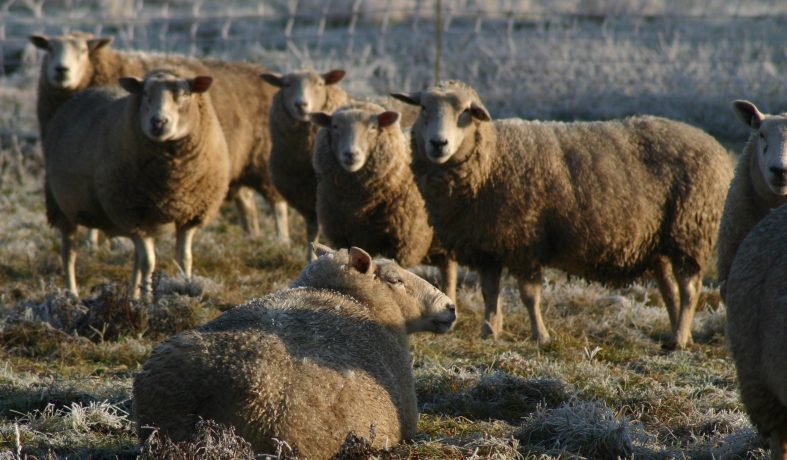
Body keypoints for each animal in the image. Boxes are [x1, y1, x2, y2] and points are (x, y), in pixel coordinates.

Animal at [29, 32, 286, 241]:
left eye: (84, 51)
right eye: (49, 49)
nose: (61, 70)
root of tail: (260, 71)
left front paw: (93, 243)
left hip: (263, 158)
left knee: (278, 203)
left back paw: (280, 240)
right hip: (236, 165)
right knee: (247, 203)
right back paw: (251, 236)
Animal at [44, 69, 230, 299]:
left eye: (185, 94)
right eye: (146, 94)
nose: (158, 122)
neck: (174, 181)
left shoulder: (190, 215)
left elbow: (184, 258)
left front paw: (185, 288)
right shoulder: (133, 214)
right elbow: (149, 262)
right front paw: (148, 299)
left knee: (135, 258)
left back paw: (132, 295)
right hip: (62, 205)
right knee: (69, 252)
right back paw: (72, 294)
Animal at [260, 69, 349, 259]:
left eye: (320, 84)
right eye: (286, 84)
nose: (301, 104)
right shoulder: (307, 200)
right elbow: (312, 231)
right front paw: (310, 257)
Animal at [310, 101, 458, 301]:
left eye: (373, 127)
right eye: (335, 126)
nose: (351, 154)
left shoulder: (401, 242)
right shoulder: (344, 235)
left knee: (449, 272)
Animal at [392, 80, 733, 350]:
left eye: (466, 112)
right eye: (423, 107)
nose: (438, 143)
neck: (492, 160)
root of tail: (714, 146)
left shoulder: (524, 240)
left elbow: (529, 296)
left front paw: (540, 337)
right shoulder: (488, 245)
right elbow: (490, 292)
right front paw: (490, 331)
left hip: (690, 231)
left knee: (689, 290)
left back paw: (679, 340)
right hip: (660, 242)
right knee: (670, 290)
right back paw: (678, 334)